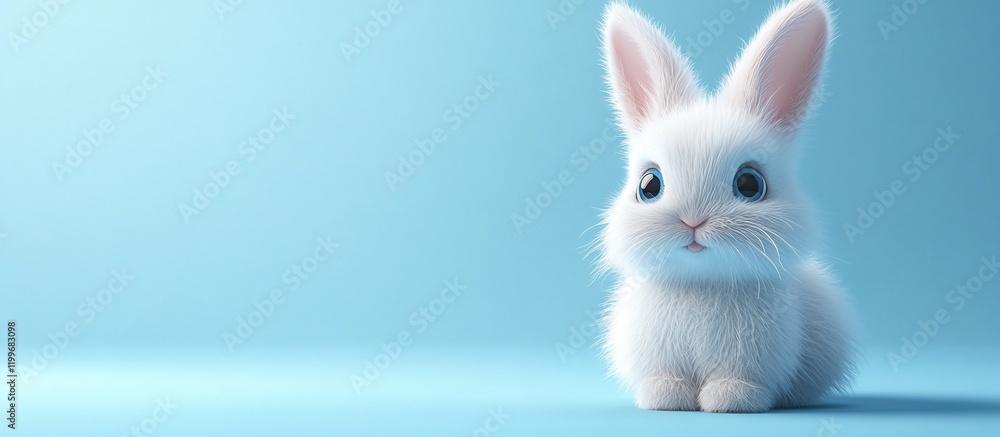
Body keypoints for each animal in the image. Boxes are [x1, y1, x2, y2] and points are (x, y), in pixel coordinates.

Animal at [595, 0, 857, 413]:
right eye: (649, 186)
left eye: (750, 184)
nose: (692, 220)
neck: (702, 285)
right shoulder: (660, 357)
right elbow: (665, 378)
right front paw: (665, 397)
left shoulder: (751, 363)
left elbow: (739, 380)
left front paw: (730, 399)